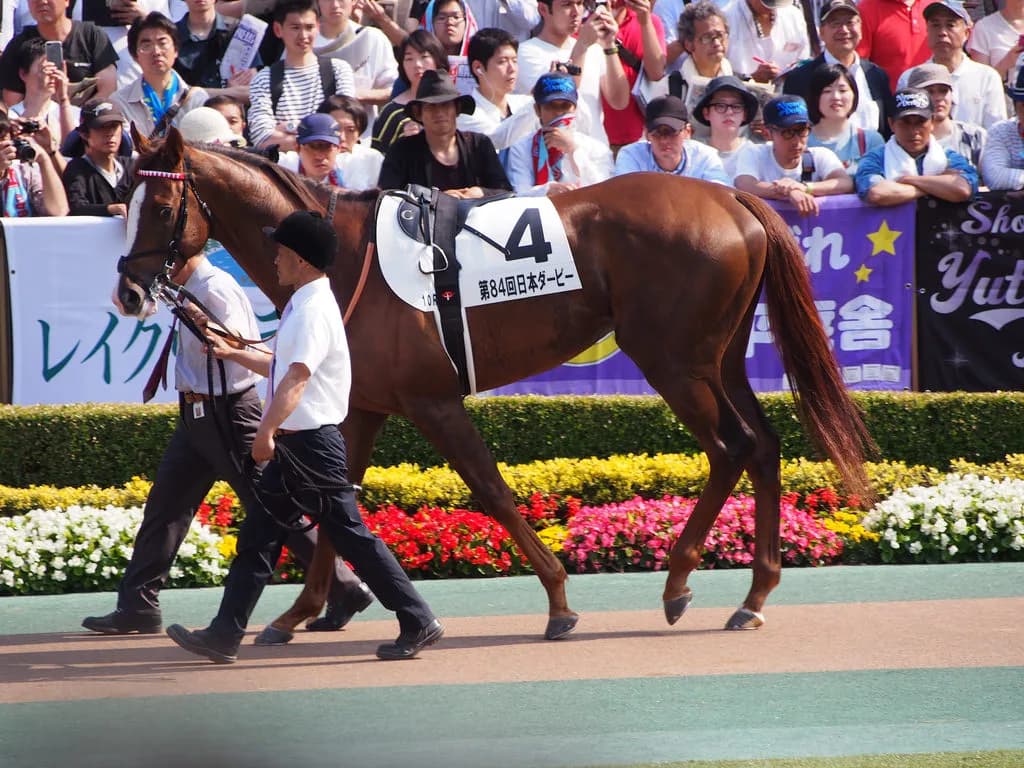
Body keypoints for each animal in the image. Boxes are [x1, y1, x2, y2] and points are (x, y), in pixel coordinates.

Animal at [116, 127, 873, 641]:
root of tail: (735, 198)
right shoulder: (359, 405)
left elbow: (491, 489)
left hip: (673, 361)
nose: (127, 289)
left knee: (730, 448)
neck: (343, 256)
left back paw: (681, 582)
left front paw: (560, 602)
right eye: (125, 199)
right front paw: (301, 612)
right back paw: (752, 595)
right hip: (719, 359)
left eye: (158, 204)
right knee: (763, 445)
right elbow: (337, 499)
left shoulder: (432, 401)